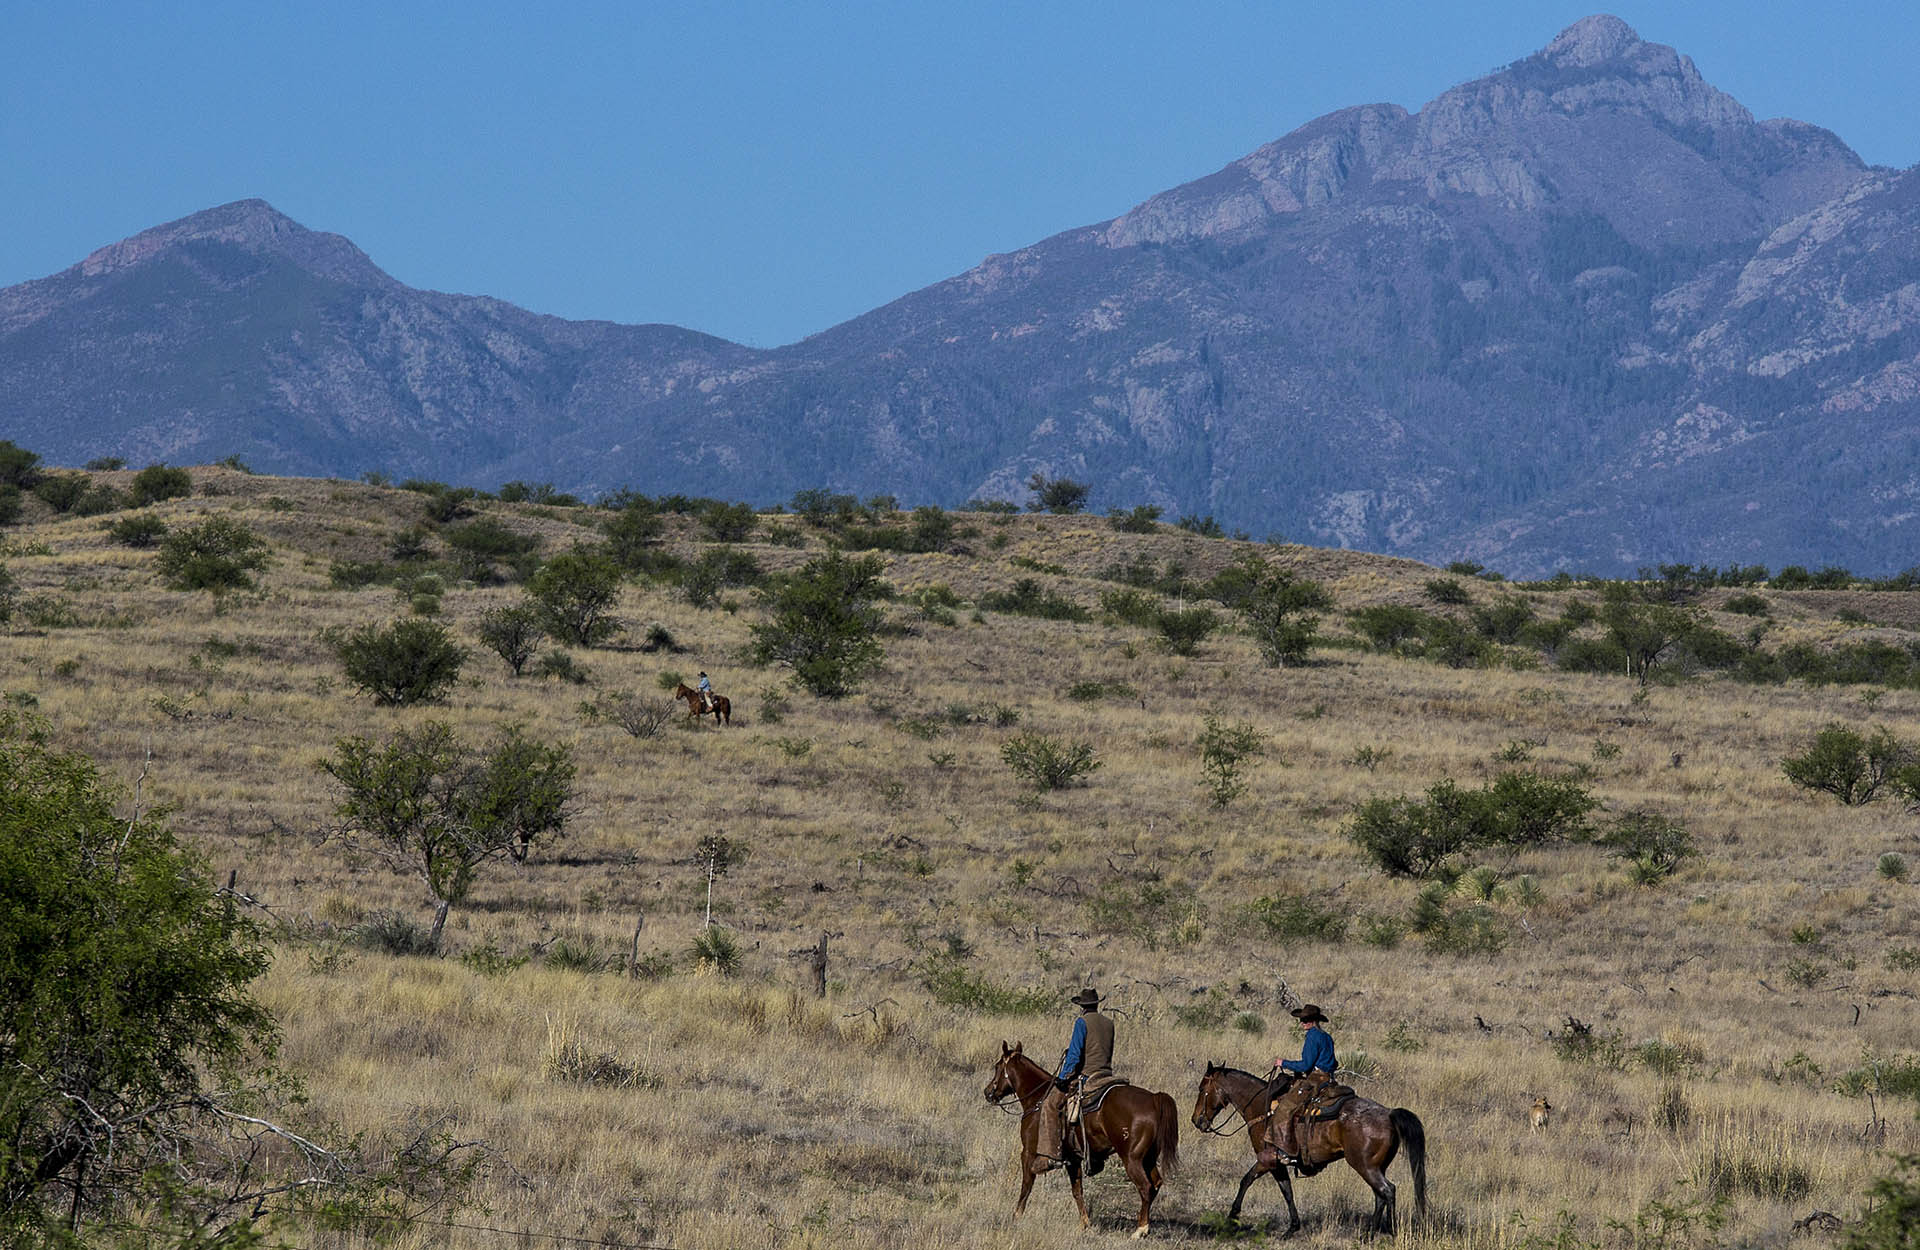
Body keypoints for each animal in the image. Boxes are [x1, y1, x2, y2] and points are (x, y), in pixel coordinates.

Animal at [983, 1044, 1175, 1236]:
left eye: (997, 1066)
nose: (988, 1092)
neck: (1037, 1098)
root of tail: (1154, 1099)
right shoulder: (1073, 1159)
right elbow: (1077, 1191)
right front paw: (1085, 1223)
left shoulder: (1028, 1152)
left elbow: (1026, 1185)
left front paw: (1016, 1215)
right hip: (1148, 1158)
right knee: (1156, 1183)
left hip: (1132, 1159)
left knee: (1145, 1187)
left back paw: (1140, 1230)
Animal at [1190, 1067, 1436, 1244]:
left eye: (1202, 1089)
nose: (1196, 1121)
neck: (1262, 1107)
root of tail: (1389, 1114)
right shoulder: (1278, 1164)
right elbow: (1287, 1191)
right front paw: (1292, 1228)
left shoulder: (1267, 1159)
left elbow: (1246, 1180)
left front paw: (1232, 1217)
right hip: (1376, 1167)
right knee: (1380, 1195)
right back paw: (1368, 1235)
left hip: (1365, 1166)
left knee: (1388, 1191)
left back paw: (1391, 1231)